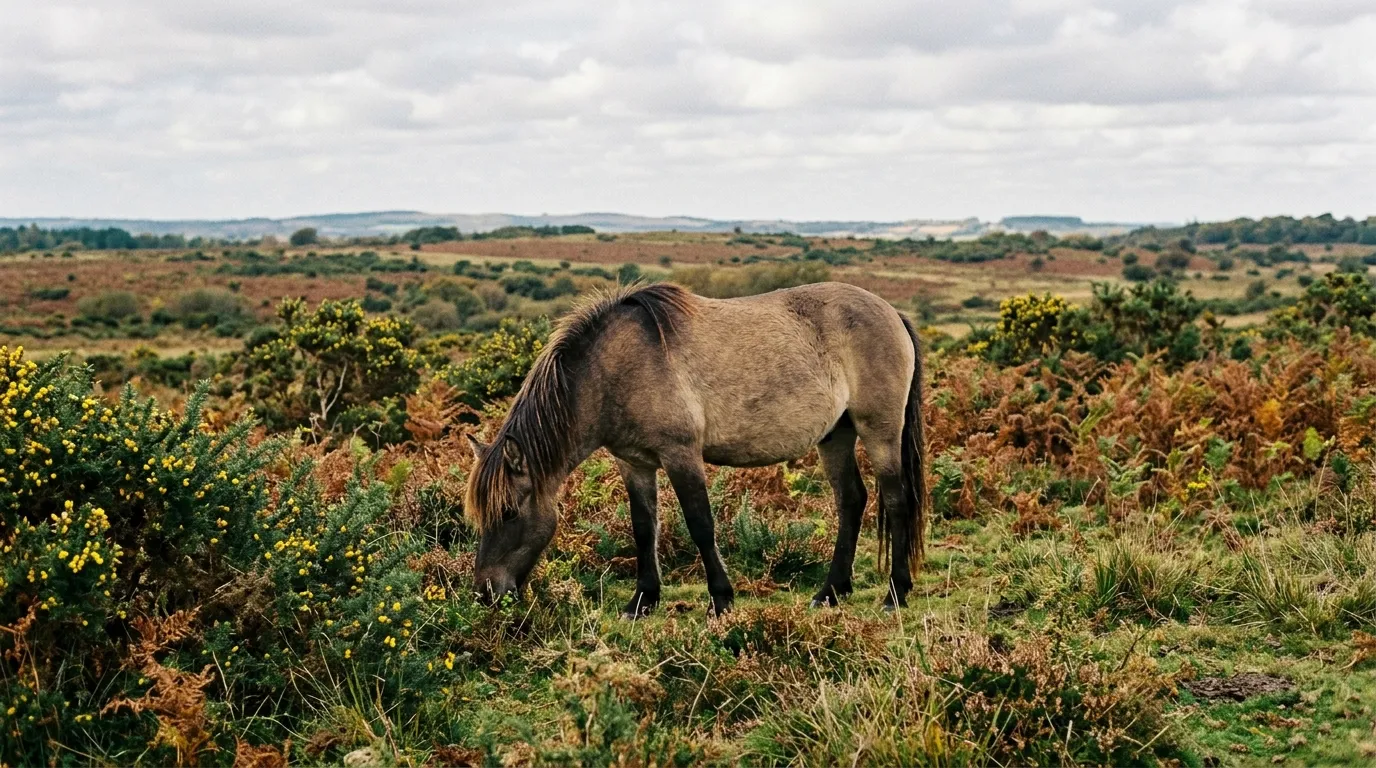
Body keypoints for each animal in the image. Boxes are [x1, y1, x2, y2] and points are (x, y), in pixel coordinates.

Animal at [463, 281, 926, 616]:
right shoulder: (634, 464)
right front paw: (642, 601)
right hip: (836, 436)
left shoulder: (681, 456)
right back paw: (830, 591)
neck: (614, 369)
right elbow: (644, 528)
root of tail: (892, 313)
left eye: (509, 512)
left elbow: (701, 524)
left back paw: (895, 593)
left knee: (896, 500)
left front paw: (720, 599)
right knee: (851, 500)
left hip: (880, 431)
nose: (486, 593)